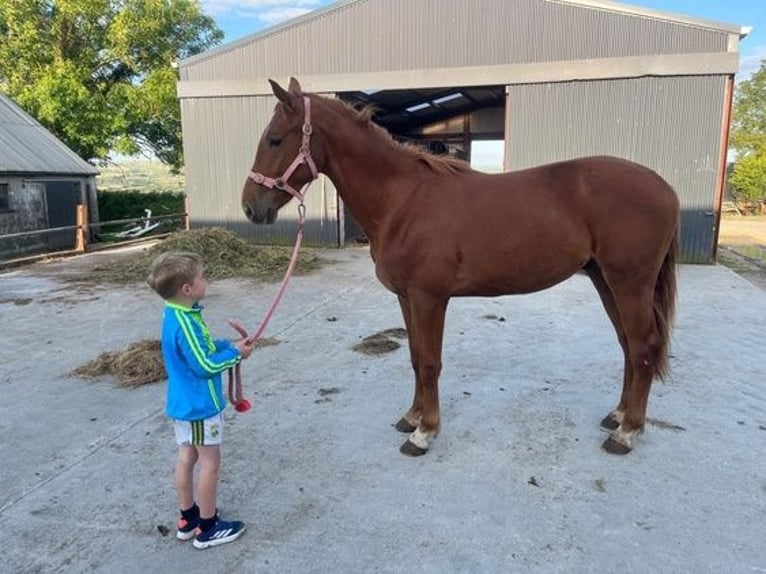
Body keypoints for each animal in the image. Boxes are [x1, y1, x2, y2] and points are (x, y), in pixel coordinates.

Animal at [243, 80, 680, 460]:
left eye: (275, 139)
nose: (250, 207)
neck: (402, 200)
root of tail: (664, 187)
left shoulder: (429, 298)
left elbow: (431, 363)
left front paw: (424, 433)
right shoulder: (407, 298)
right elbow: (416, 358)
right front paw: (411, 418)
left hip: (630, 284)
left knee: (643, 347)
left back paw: (626, 433)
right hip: (606, 281)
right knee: (628, 346)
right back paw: (618, 416)